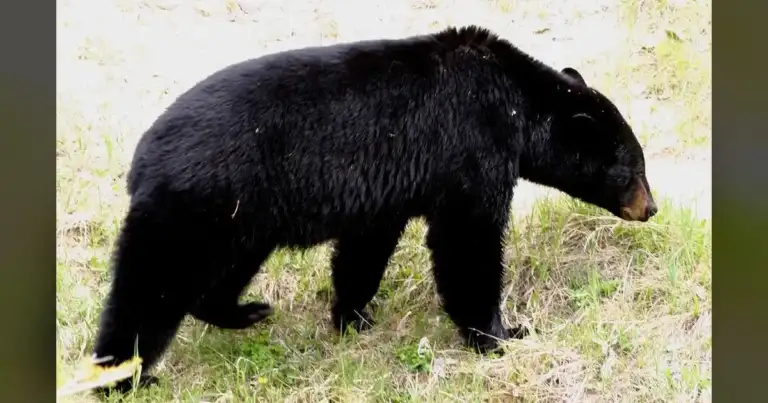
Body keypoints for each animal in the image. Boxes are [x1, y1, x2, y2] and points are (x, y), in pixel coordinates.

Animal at [88, 25, 657, 393]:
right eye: (632, 169)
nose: (650, 208)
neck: (519, 105)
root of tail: (141, 160)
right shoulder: (470, 148)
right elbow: (467, 240)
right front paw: (501, 334)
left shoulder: (391, 183)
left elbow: (367, 246)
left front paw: (353, 317)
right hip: (194, 208)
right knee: (148, 292)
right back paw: (121, 377)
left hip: (239, 219)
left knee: (220, 276)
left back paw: (245, 311)